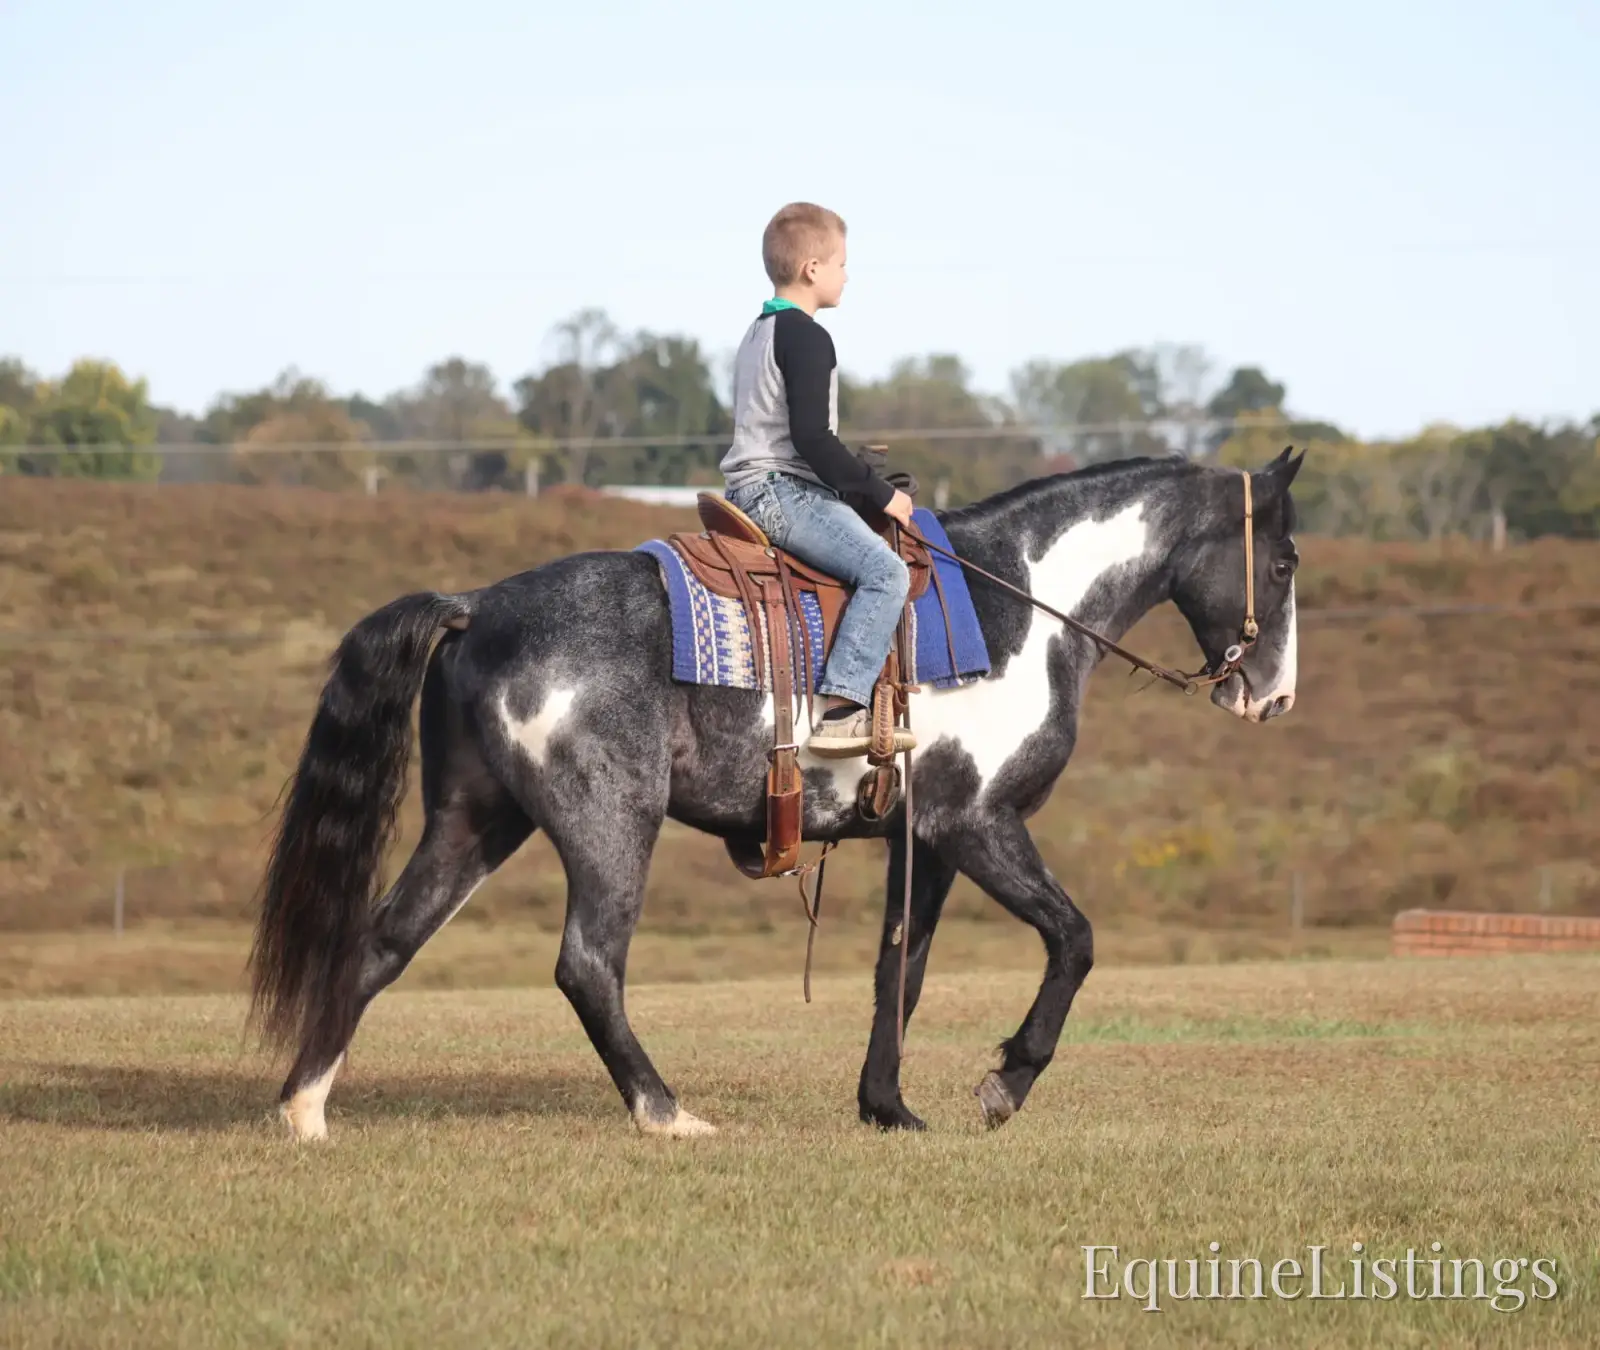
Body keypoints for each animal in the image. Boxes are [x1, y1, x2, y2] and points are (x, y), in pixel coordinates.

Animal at [249, 448, 1305, 1140]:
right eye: (1287, 560)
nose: (1275, 696)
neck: (1016, 606)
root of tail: (476, 607)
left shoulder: (925, 839)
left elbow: (900, 971)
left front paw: (887, 1107)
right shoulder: (978, 823)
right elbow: (1074, 939)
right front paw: (1005, 1084)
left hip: (474, 821)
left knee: (384, 942)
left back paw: (305, 1109)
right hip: (609, 823)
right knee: (588, 966)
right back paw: (667, 1113)